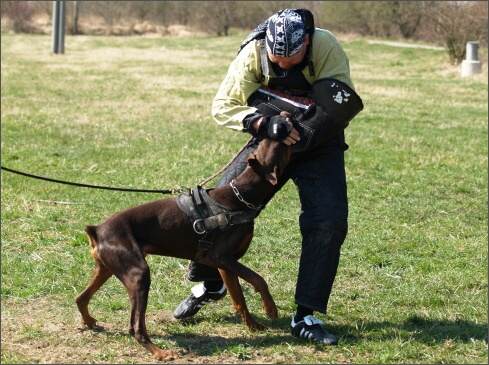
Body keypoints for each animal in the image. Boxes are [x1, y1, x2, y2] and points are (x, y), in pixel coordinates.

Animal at [74, 133, 290, 358]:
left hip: (106, 268)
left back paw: (89, 322)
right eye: (280, 145)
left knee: (80, 298)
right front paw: (270, 309)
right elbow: (258, 278)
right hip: (138, 273)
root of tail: (97, 230)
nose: (285, 124)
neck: (241, 197)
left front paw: (254, 326)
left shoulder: (225, 263)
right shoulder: (218, 256)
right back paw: (160, 353)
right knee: (135, 327)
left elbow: (239, 299)